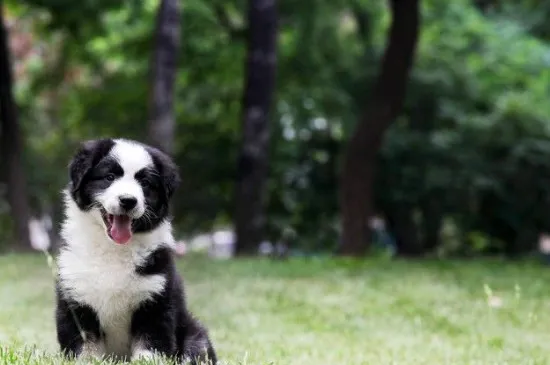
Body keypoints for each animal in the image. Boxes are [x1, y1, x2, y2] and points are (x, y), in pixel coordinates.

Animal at [55, 138, 218, 362]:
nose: (128, 200)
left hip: (195, 335)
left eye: (145, 184)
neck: (113, 249)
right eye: (110, 177)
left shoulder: (155, 300)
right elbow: (84, 346)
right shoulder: (76, 299)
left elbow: (150, 344)